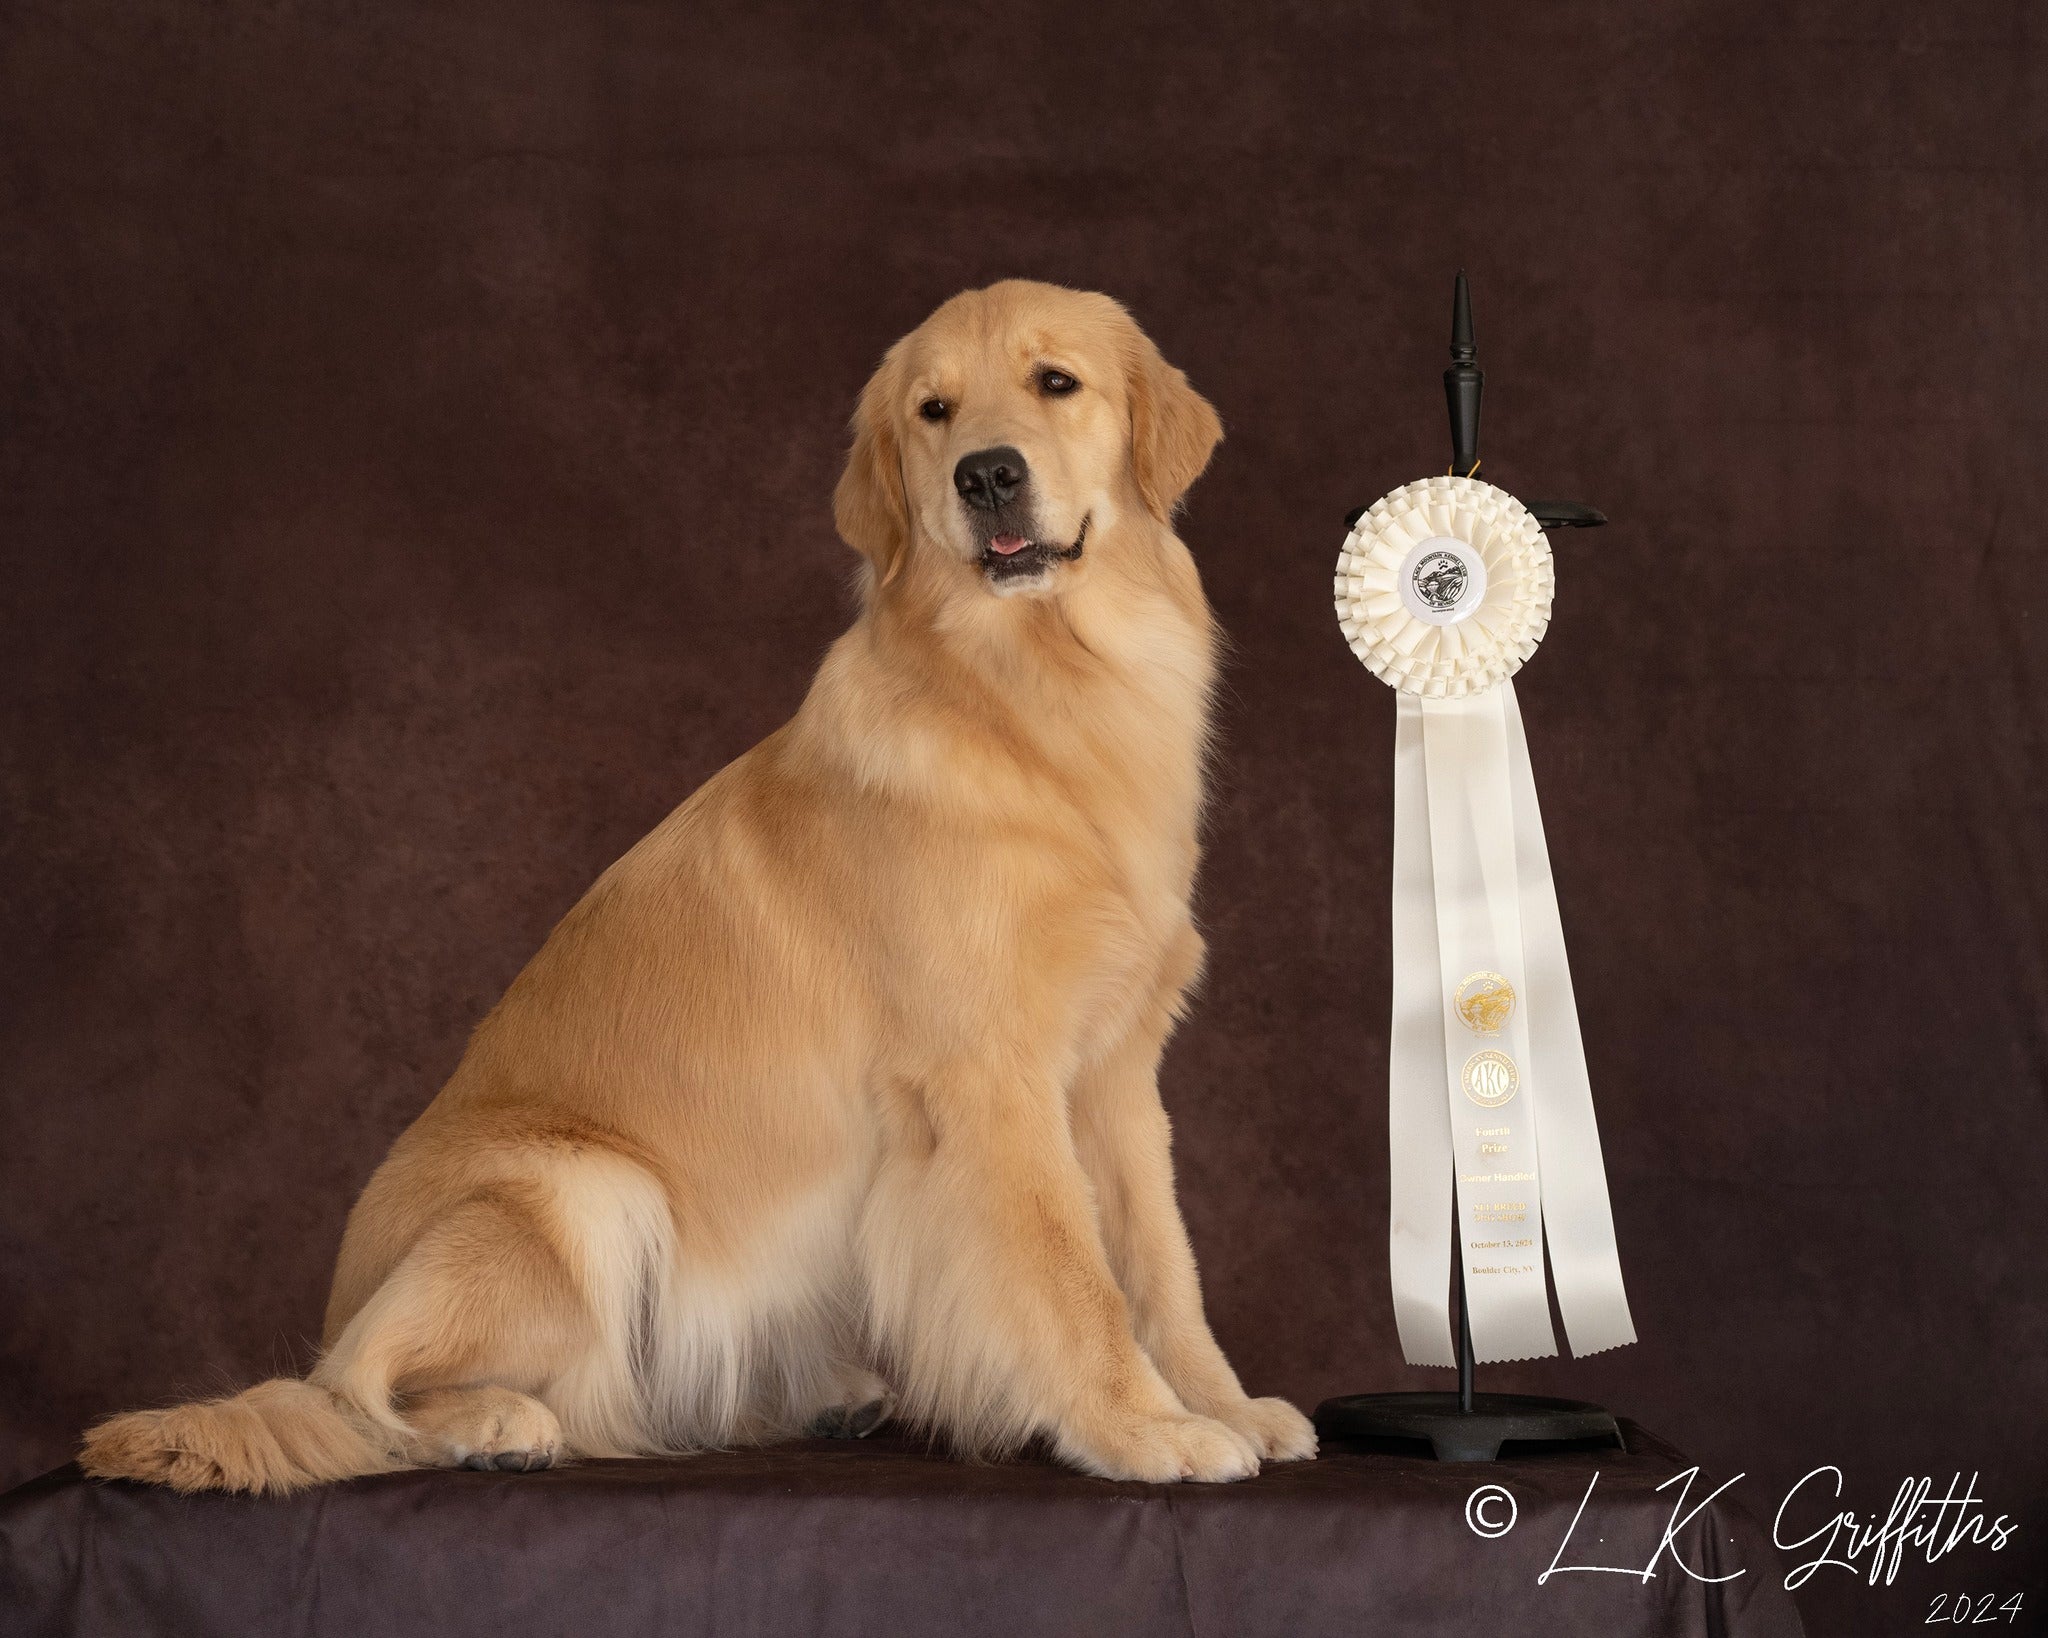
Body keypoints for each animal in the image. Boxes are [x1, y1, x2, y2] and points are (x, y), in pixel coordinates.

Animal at [83, 282, 1310, 1498]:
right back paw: (497, 1421)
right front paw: (1141, 1428)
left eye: (1056, 382)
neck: (1029, 701)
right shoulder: (990, 1081)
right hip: (581, 1187)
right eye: (934, 411)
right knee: (355, 1392)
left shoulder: (1115, 1076)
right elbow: (1072, 1274)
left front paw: (1218, 1402)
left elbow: (1160, 1263)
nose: (986, 474)